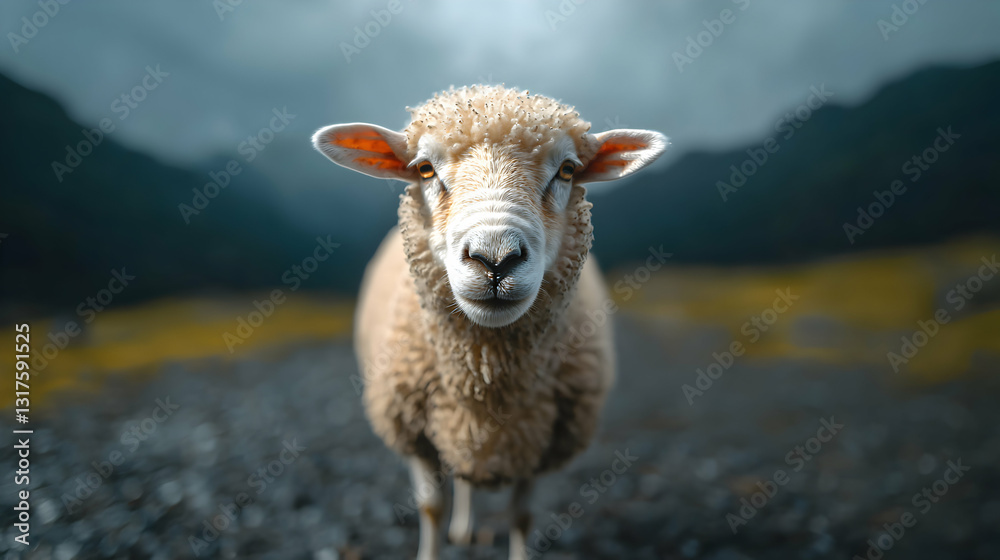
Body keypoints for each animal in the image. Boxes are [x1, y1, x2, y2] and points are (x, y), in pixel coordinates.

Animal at [312, 85, 667, 560]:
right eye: (424, 169)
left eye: (568, 170)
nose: (495, 259)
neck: (487, 379)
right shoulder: (414, 431)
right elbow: (431, 508)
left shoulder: (536, 438)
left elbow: (522, 515)